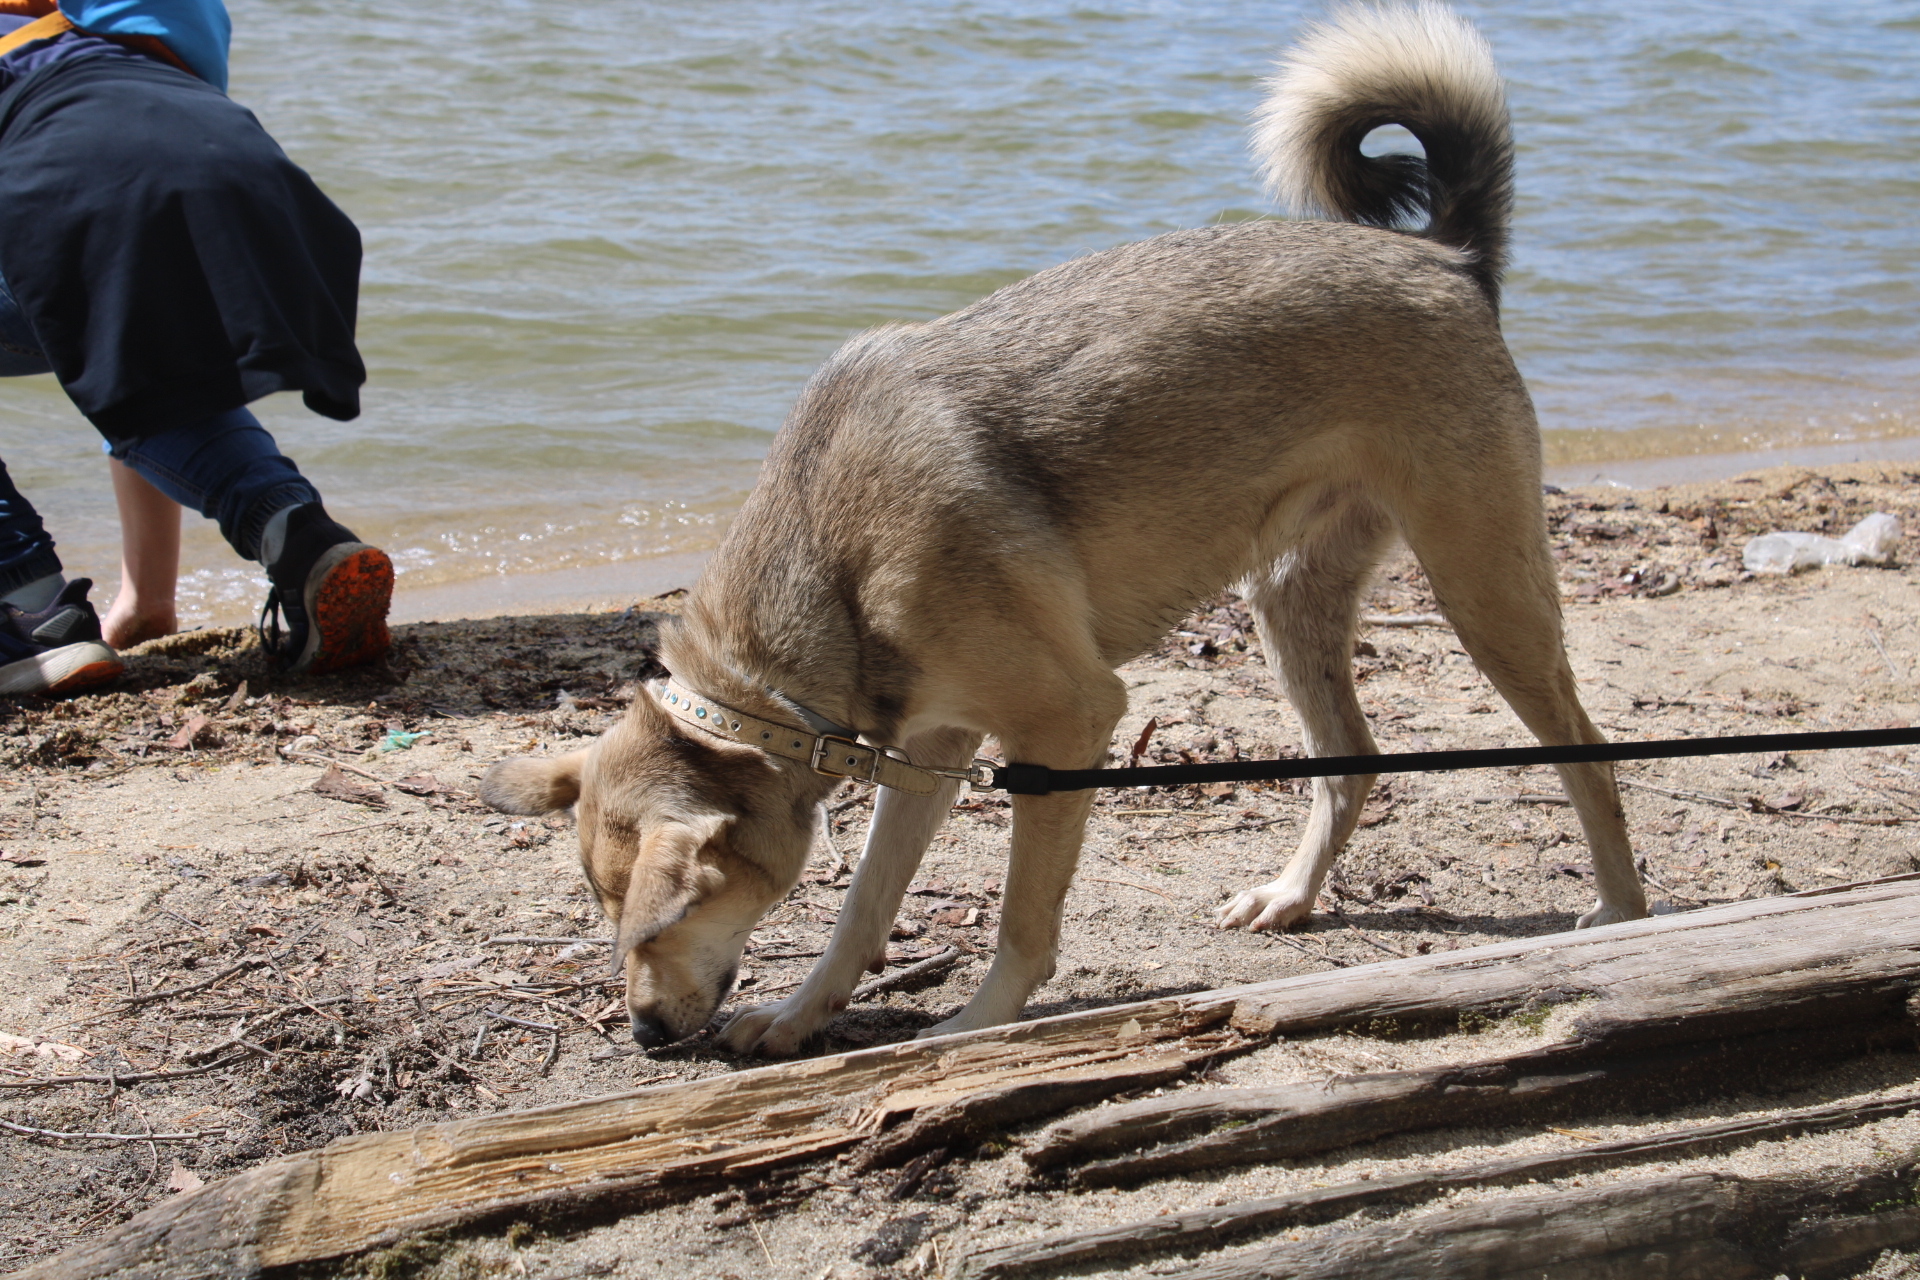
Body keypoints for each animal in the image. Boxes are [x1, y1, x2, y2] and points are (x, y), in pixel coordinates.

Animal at [483, 5, 1651, 1059]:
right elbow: (864, 904)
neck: (826, 574)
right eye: (609, 917)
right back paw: (1292, 894)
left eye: (665, 920)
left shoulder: (1065, 727)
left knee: (1589, 754)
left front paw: (979, 1025)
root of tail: (1447, 259)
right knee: (1349, 761)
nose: (642, 1035)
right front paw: (802, 1013)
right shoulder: (933, 749)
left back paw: (1625, 920)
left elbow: (1019, 920)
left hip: (1483, 588)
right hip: (1291, 599)